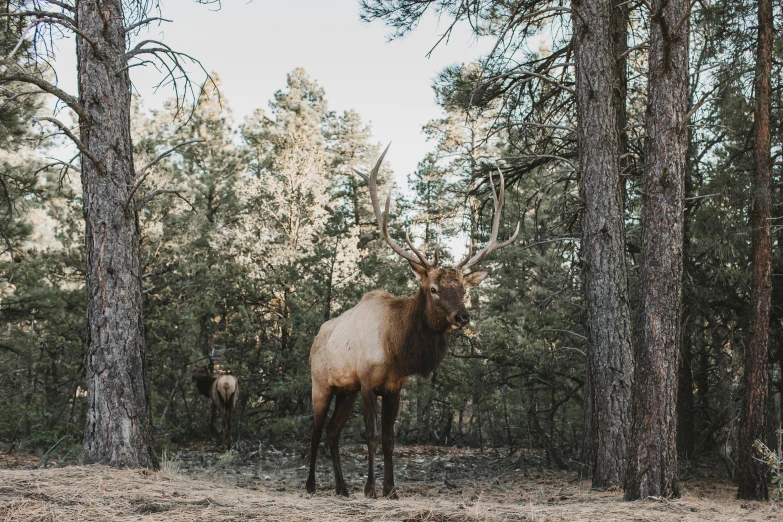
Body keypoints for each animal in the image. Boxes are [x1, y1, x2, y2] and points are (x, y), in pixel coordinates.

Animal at [308, 145, 520, 496]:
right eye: (433, 289)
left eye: (463, 288)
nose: (463, 315)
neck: (397, 349)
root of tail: (316, 337)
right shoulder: (368, 383)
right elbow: (372, 437)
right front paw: (370, 488)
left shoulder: (394, 388)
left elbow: (390, 440)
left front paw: (391, 489)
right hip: (321, 383)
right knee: (314, 431)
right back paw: (311, 484)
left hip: (345, 390)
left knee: (332, 433)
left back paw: (341, 487)